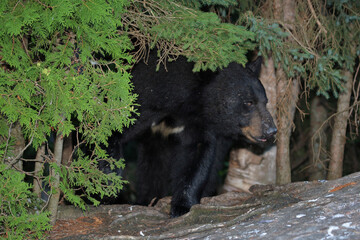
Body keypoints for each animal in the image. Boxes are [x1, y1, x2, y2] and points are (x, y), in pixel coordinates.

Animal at [108, 52, 278, 218]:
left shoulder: (198, 125)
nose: (271, 130)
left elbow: (197, 159)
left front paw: (182, 206)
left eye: (265, 101)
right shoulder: (141, 103)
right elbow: (111, 132)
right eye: (248, 102)